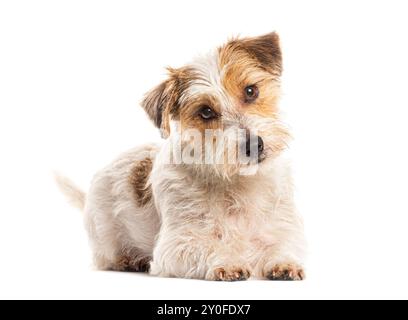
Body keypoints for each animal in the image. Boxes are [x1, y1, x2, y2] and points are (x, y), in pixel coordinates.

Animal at [56, 32, 306, 282]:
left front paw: (285, 263)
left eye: (251, 91)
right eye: (205, 111)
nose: (254, 145)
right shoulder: (175, 246)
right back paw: (128, 260)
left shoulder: (281, 228)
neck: (238, 181)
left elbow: (282, 245)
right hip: (105, 238)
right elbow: (210, 246)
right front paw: (227, 262)